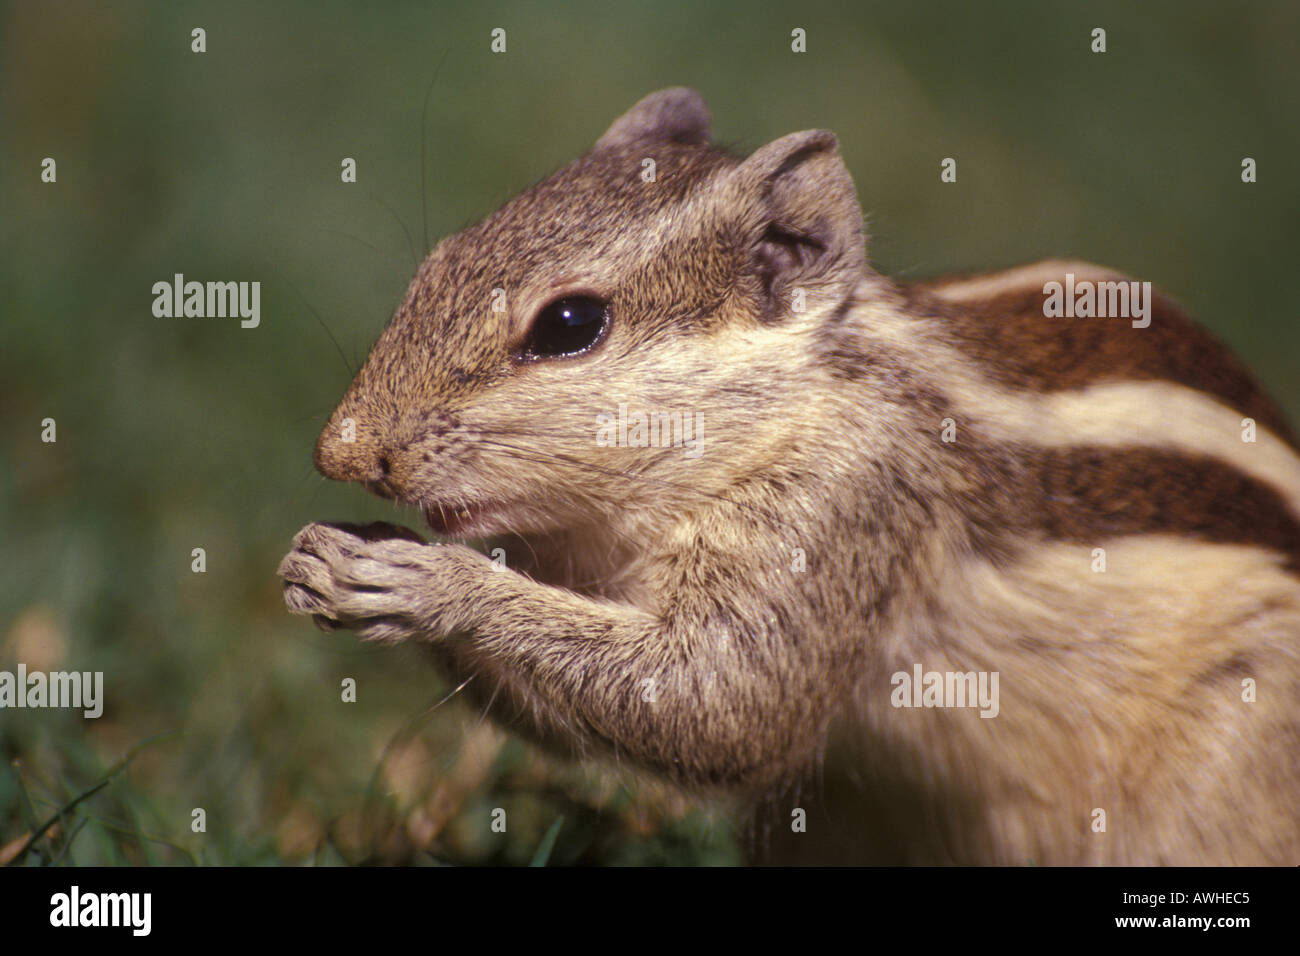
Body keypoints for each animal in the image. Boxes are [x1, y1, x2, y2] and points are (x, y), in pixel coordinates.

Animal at [279, 88, 1300, 865]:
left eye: (570, 324)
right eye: (440, 261)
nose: (342, 452)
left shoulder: (846, 502)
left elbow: (725, 702)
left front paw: (426, 580)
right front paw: (321, 560)